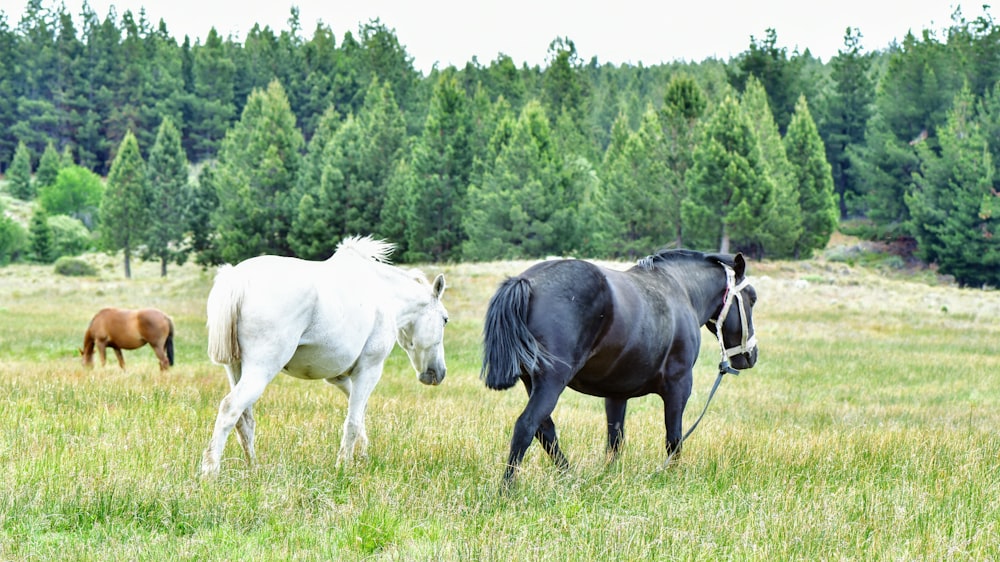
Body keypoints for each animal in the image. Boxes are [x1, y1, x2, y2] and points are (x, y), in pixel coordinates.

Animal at [200, 234, 450, 474]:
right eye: (445, 319)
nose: (438, 373)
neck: (384, 295)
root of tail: (237, 279)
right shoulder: (369, 370)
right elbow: (352, 421)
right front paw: (343, 467)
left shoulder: (339, 377)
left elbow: (359, 415)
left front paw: (361, 454)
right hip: (261, 370)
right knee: (230, 408)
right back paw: (210, 472)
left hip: (235, 369)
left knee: (245, 420)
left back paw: (253, 468)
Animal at [482, 247, 756, 484]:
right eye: (752, 298)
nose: (750, 356)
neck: (681, 290)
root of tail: (527, 282)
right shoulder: (679, 386)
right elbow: (674, 437)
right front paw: (672, 475)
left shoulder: (616, 394)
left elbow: (615, 440)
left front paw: (609, 475)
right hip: (551, 382)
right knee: (526, 426)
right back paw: (507, 488)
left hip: (533, 383)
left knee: (545, 431)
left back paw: (570, 477)